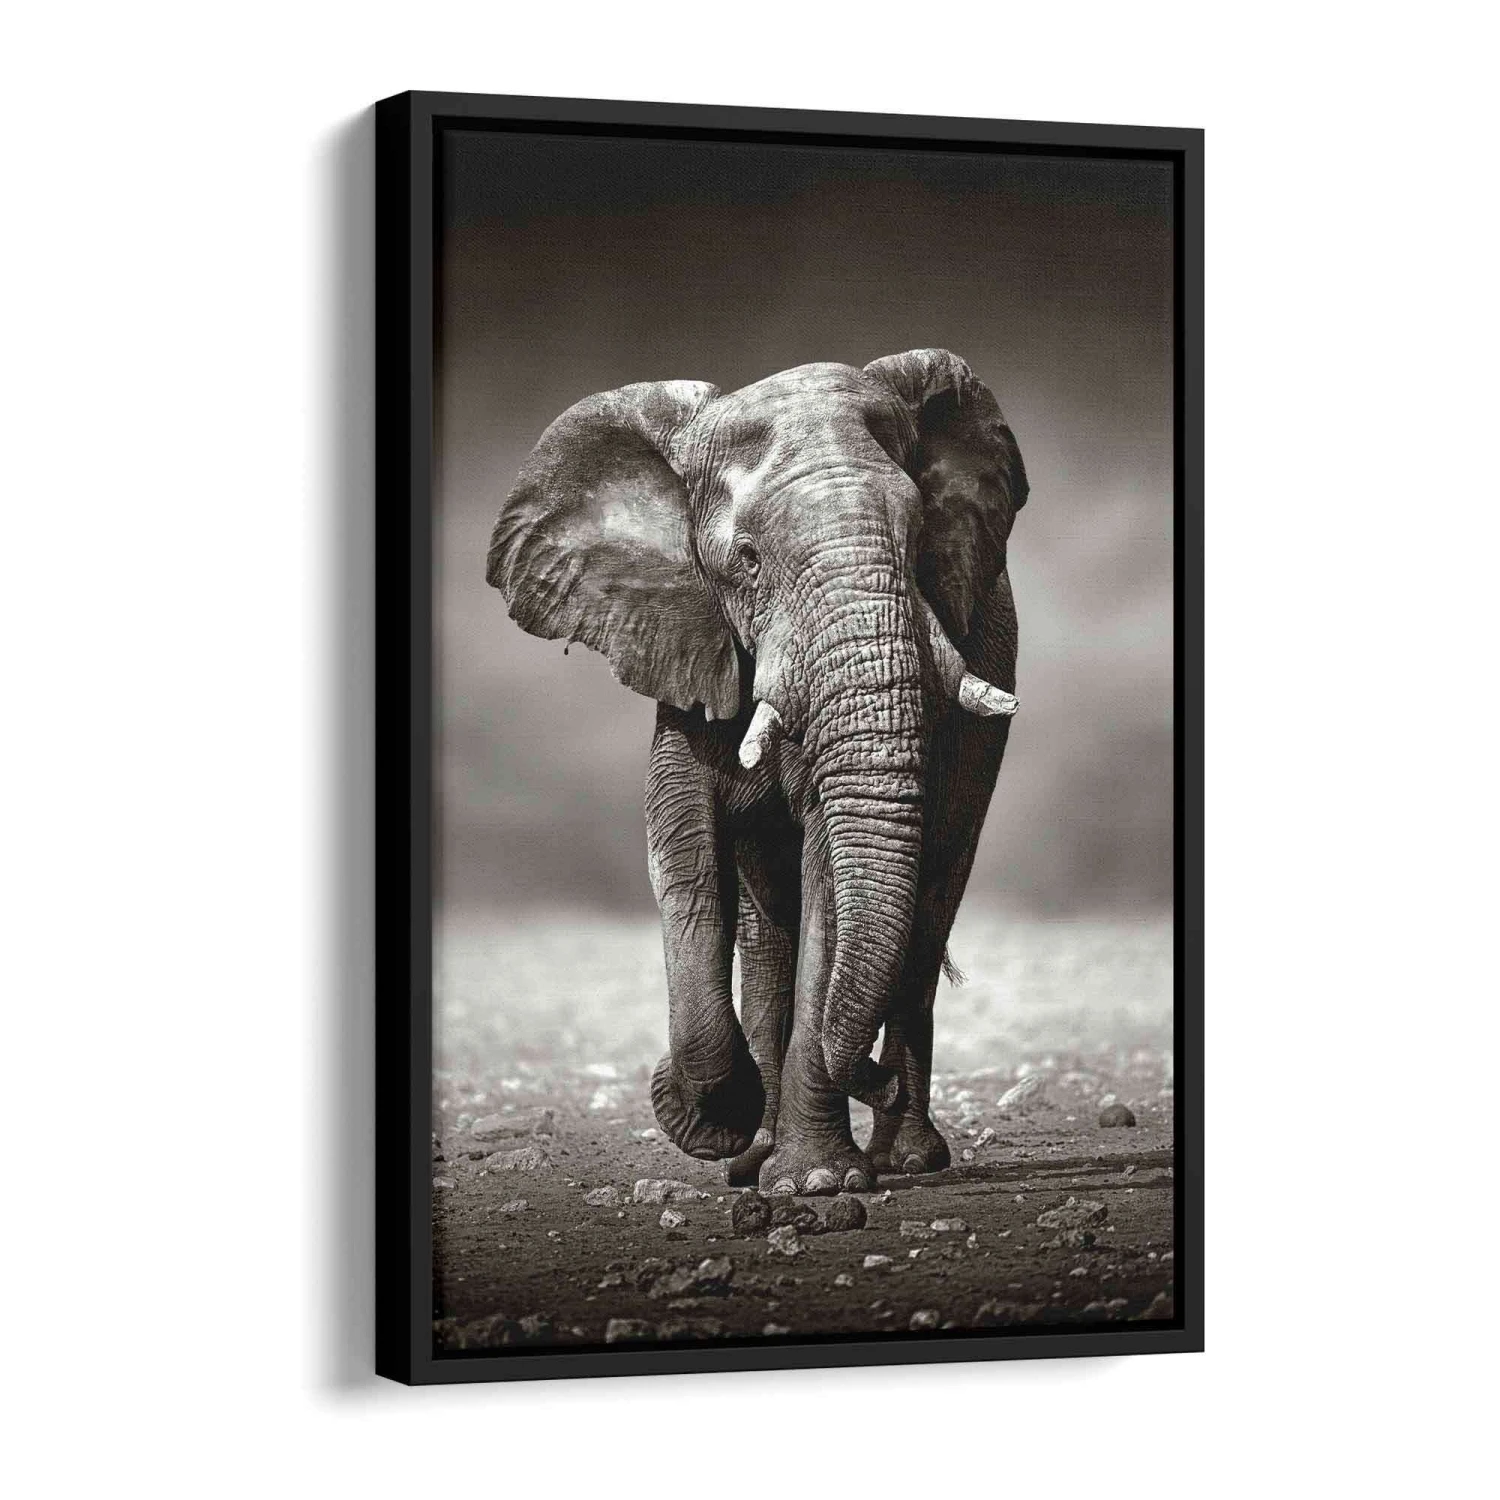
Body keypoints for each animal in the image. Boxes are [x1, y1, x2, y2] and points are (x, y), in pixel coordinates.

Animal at [486, 349, 1028, 1196]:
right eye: (746, 560)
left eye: (918, 544)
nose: (873, 1081)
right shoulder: (687, 645)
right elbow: (684, 853)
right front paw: (714, 1124)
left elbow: (831, 877)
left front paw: (817, 1183)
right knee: (767, 931)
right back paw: (754, 1155)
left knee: (927, 905)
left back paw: (905, 1158)